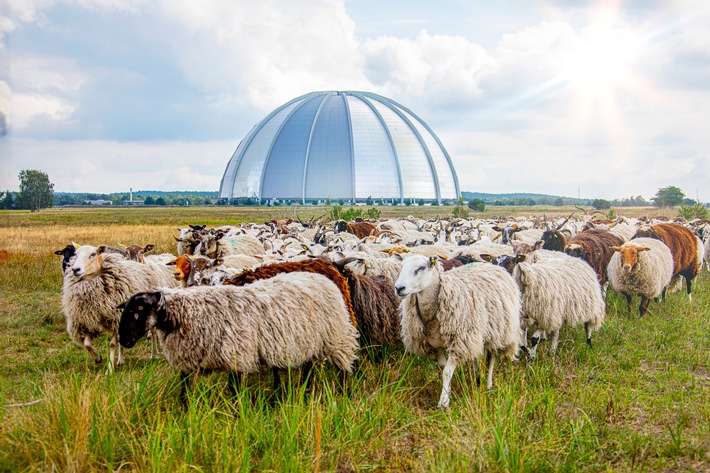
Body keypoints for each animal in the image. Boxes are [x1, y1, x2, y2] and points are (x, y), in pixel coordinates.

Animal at [119, 272, 362, 400]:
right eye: (125, 309)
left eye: (139, 309)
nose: (123, 340)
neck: (189, 313)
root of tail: (322, 277)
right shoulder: (188, 361)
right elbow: (184, 393)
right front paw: (185, 415)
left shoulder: (237, 356)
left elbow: (234, 392)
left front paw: (237, 415)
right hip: (308, 342)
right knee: (308, 367)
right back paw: (305, 391)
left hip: (336, 336)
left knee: (343, 367)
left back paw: (344, 393)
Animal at [394, 253, 524, 408]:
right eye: (401, 266)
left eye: (421, 268)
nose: (399, 288)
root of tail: (492, 266)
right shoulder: (436, 344)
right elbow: (442, 368)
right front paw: (448, 392)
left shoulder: (458, 342)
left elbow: (447, 372)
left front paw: (443, 402)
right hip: (474, 333)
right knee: (475, 356)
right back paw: (476, 379)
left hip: (497, 330)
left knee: (491, 358)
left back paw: (488, 384)